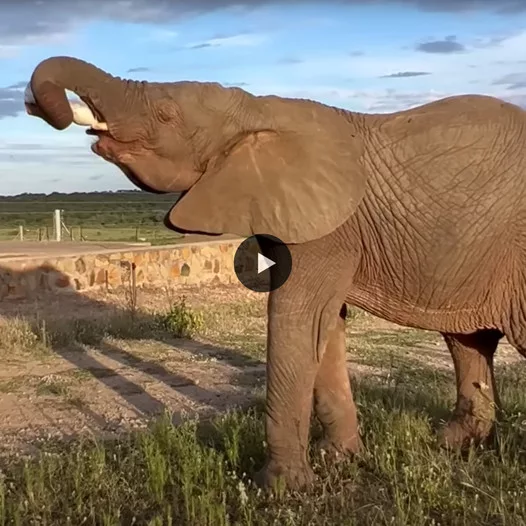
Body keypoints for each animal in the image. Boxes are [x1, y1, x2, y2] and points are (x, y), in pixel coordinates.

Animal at [24, 55, 526, 492]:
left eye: (166, 114)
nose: (34, 103)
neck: (256, 108)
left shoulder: (327, 228)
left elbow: (296, 316)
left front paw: (280, 488)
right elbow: (324, 326)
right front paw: (338, 461)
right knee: (468, 342)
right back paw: (455, 443)